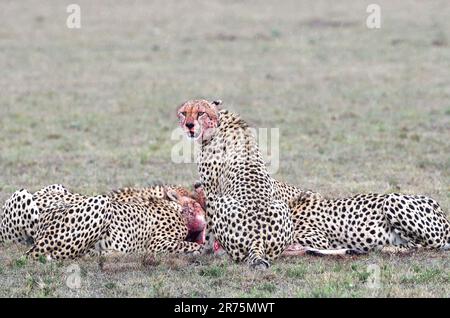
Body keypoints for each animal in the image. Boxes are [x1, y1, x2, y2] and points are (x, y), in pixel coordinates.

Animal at [178, 99, 294, 268]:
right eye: (184, 113)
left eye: (200, 113)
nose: (189, 125)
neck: (218, 123)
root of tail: (257, 238)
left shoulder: (211, 191)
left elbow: (209, 227)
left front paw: (204, 249)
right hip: (281, 206)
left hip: (222, 202)